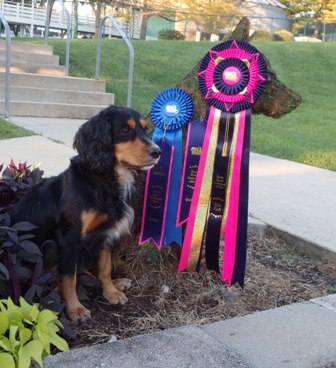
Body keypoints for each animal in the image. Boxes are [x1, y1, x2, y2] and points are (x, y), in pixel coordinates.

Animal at [10, 105, 161, 320]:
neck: (104, 179)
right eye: (125, 130)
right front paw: (74, 308)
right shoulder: (70, 238)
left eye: (145, 129)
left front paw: (111, 291)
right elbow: (69, 277)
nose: (158, 152)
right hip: (44, 250)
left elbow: (105, 267)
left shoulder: (107, 231)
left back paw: (116, 282)